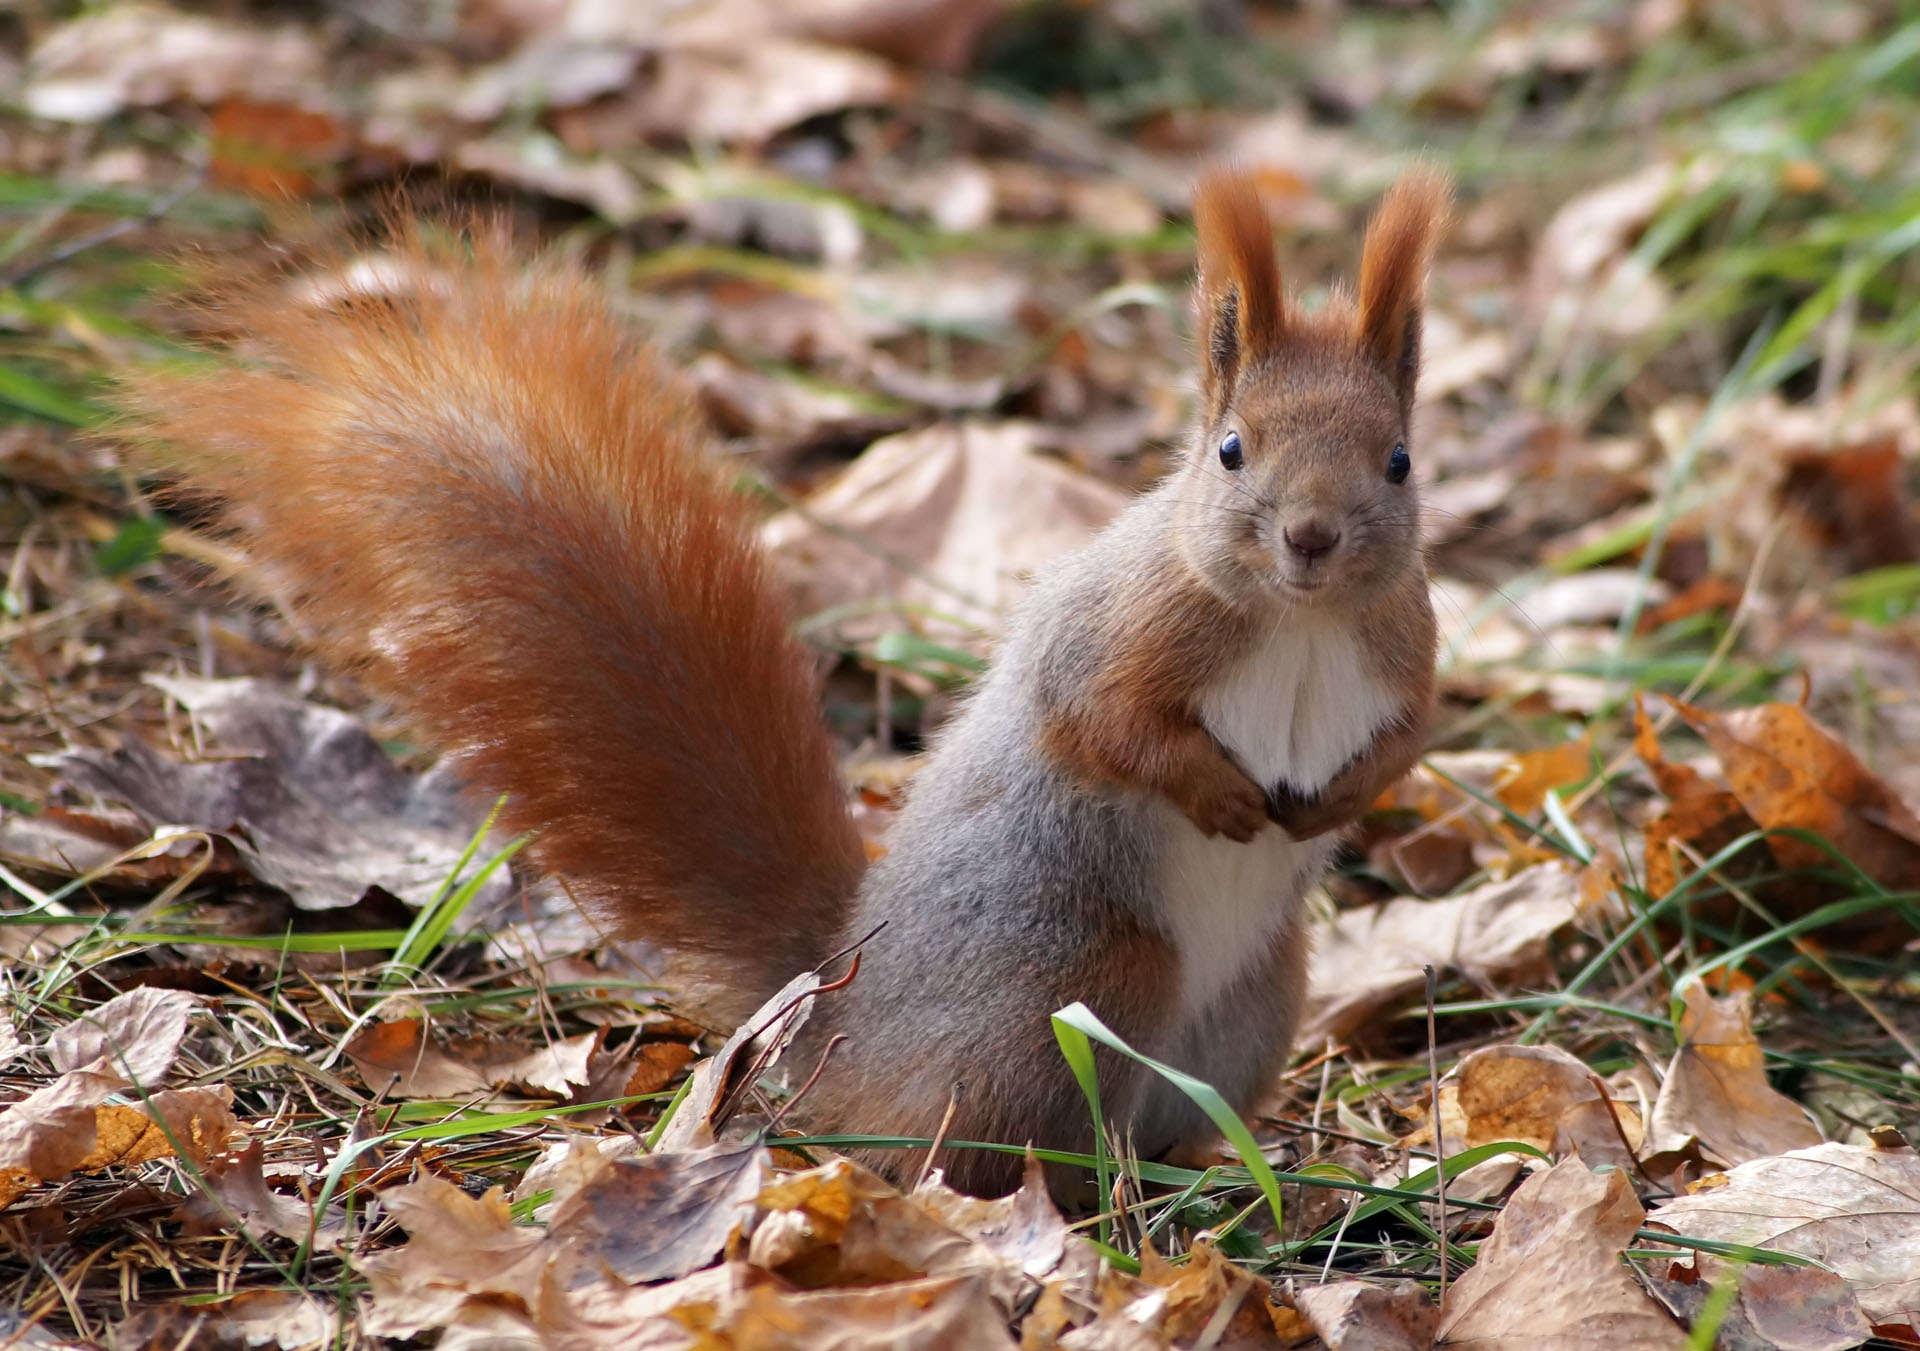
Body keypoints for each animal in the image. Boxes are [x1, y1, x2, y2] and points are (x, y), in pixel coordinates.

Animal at [112, 165, 1443, 1189]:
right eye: (1232, 452)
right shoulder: (1119, 631)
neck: (1299, 624)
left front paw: (1334, 800)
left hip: (1259, 1000)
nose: (1312, 537)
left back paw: (1211, 1176)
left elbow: (1405, 740)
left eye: (1399, 460)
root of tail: (833, 1007)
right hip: (1085, 980)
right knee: (965, 1147)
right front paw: (1220, 794)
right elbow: (1105, 723)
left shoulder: (1407, 650)